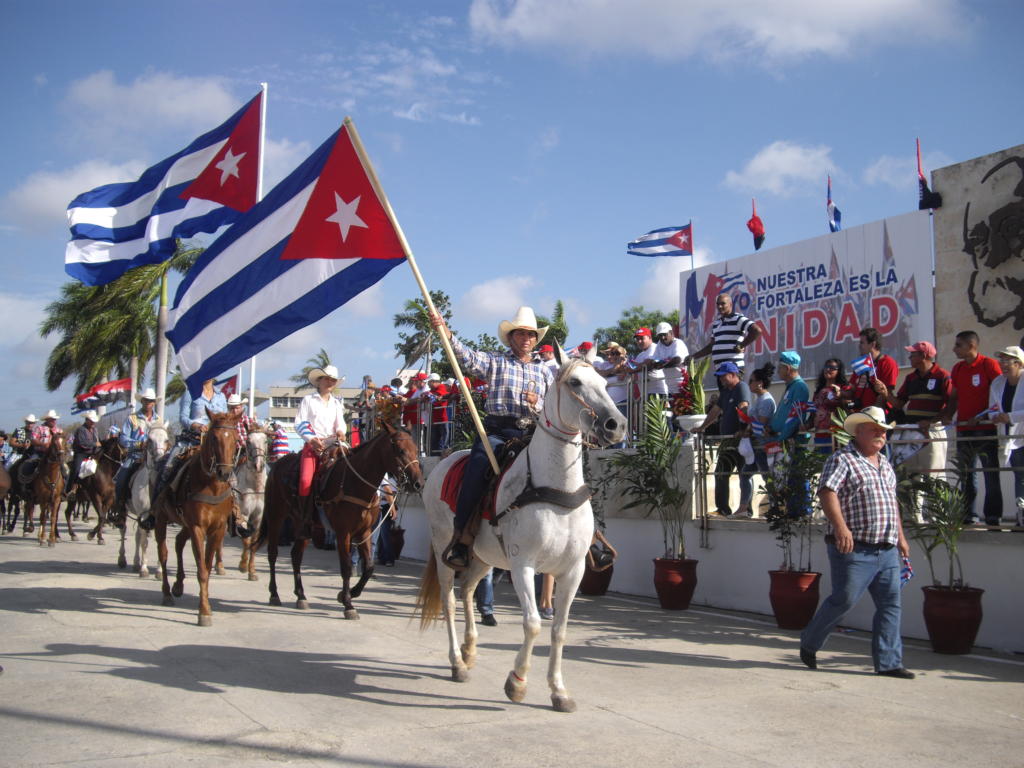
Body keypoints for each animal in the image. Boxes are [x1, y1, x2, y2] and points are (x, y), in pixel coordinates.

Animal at [118, 423, 171, 581]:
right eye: (150, 440)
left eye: (166, 439)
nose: (160, 459)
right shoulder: (143, 514)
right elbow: (144, 542)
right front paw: (144, 569)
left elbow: (161, 541)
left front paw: (160, 571)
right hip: (126, 511)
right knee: (124, 531)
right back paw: (123, 560)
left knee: (137, 536)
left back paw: (136, 563)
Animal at [153, 411, 239, 626]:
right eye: (214, 438)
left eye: (235, 438)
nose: (224, 472)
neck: (212, 485)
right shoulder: (198, 527)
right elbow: (201, 570)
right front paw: (204, 612)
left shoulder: (217, 529)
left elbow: (207, 567)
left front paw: (205, 606)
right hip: (160, 519)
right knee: (163, 553)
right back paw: (167, 593)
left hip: (185, 524)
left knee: (178, 542)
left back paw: (178, 585)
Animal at [256, 423, 423, 622]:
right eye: (400, 450)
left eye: (416, 449)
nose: (418, 483)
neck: (354, 483)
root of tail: (276, 466)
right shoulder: (344, 533)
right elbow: (346, 567)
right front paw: (348, 605)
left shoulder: (365, 532)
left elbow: (369, 567)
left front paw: (348, 594)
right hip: (276, 516)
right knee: (272, 554)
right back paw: (274, 594)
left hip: (303, 525)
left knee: (296, 556)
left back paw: (301, 596)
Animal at [413, 354, 622, 716]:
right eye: (575, 383)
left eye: (605, 383)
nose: (616, 425)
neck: (555, 490)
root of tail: (443, 462)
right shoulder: (523, 564)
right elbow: (534, 623)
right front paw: (517, 683)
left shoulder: (573, 570)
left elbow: (559, 629)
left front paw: (559, 691)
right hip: (444, 550)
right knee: (450, 600)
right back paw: (457, 663)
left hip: (483, 557)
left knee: (468, 590)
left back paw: (469, 650)